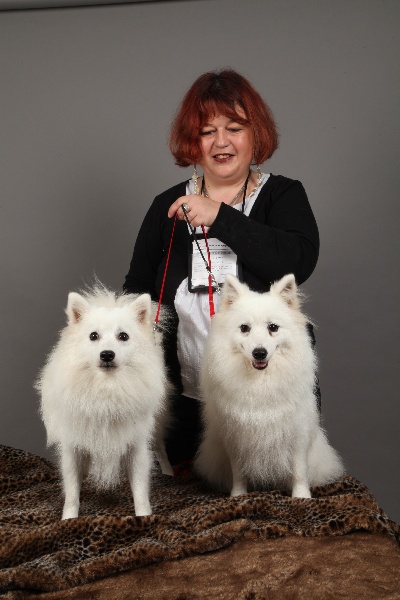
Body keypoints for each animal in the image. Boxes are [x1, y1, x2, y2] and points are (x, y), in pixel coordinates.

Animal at [36, 284, 172, 519]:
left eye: (123, 336)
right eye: (93, 336)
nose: (107, 354)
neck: (107, 389)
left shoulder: (136, 445)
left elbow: (140, 489)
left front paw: (144, 517)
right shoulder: (73, 446)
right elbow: (72, 491)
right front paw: (68, 519)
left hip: (155, 430)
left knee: (162, 450)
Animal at [195, 274, 344, 498]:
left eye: (273, 327)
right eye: (244, 328)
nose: (259, 352)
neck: (261, 380)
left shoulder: (297, 433)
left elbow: (299, 469)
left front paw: (301, 497)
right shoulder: (235, 437)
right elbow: (238, 472)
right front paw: (238, 496)